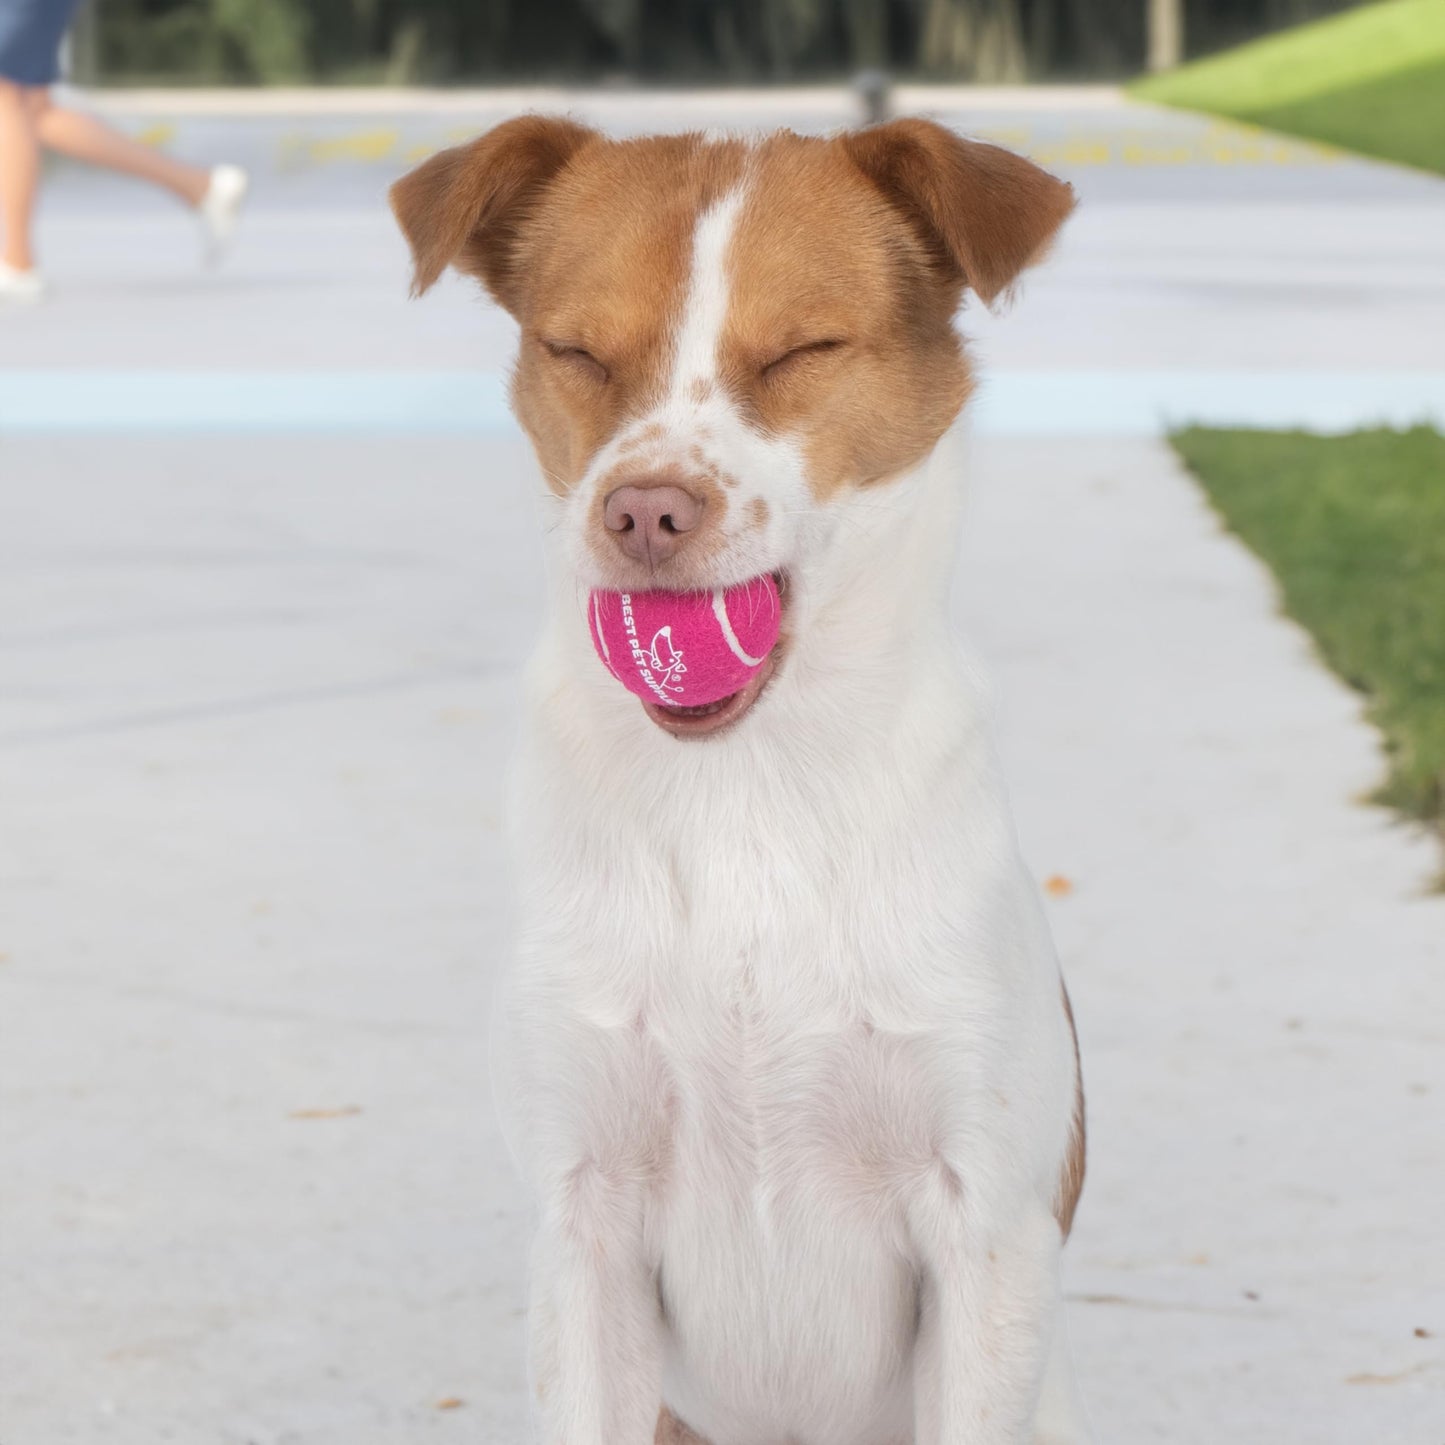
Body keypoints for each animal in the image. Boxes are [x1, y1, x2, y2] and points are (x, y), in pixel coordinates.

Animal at [390, 115, 1086, 1445]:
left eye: (802, 349)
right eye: (575, 350)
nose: (644, 511)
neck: (743, 795)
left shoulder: (983, 1230)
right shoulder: (584, 1224)